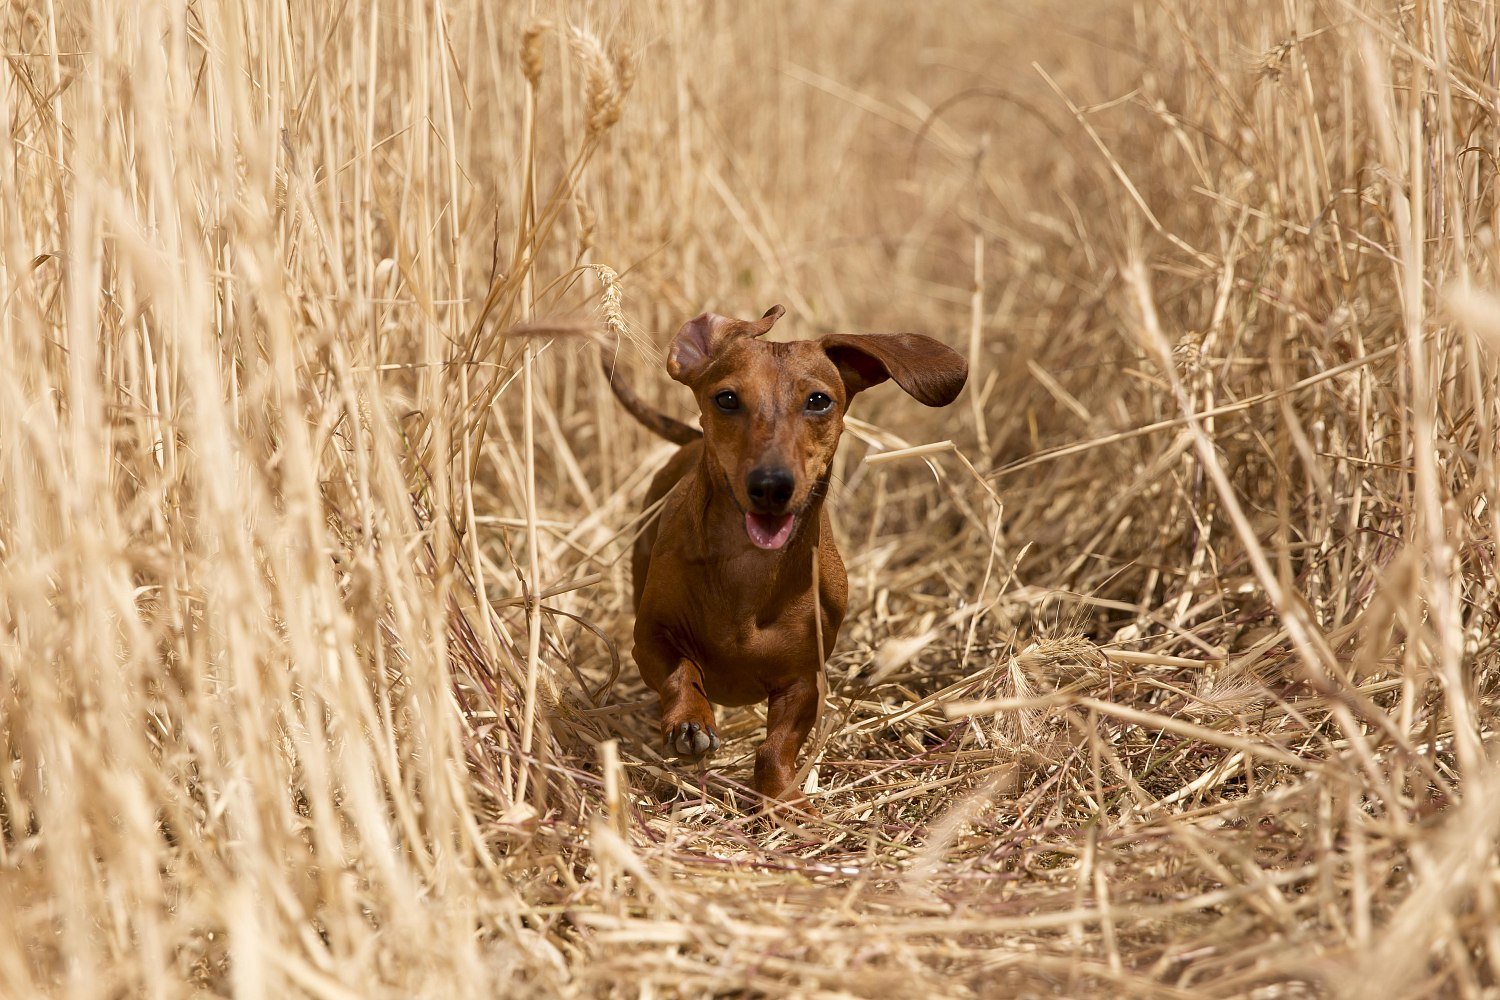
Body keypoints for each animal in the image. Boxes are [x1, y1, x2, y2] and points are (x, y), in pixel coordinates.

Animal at [603, 307, 966, 815]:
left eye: (818, 401)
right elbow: (679, 674)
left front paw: (784, 800)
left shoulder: (804, 680)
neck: (749, 569)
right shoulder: (650, 638)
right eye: (727, 398)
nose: (771, 485)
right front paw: (690, 721)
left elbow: (777, 748)